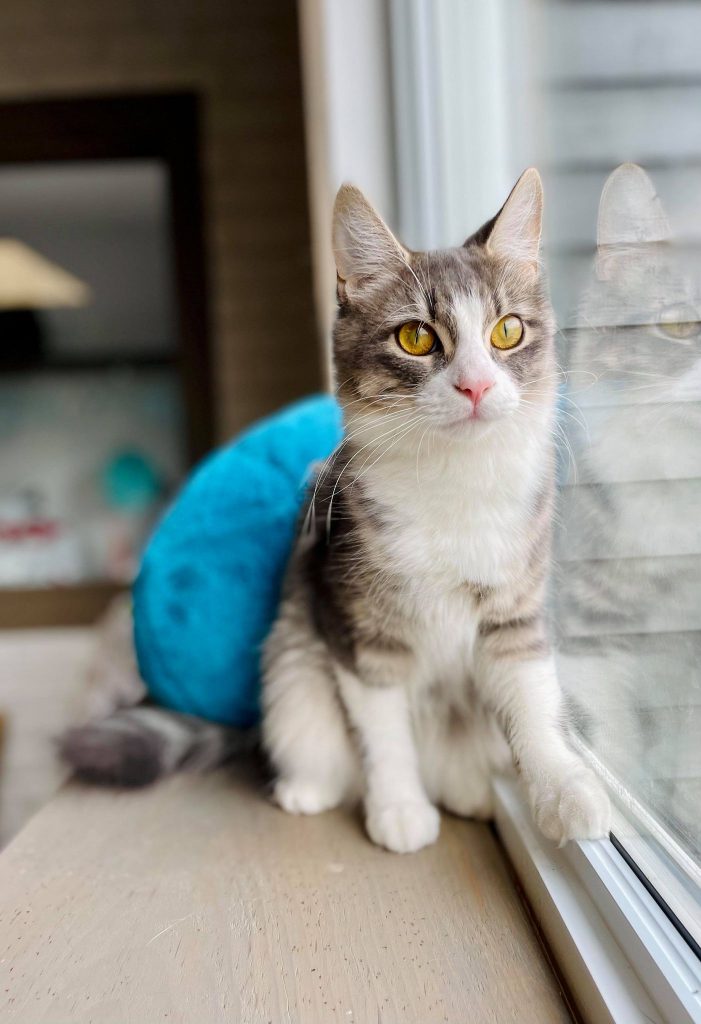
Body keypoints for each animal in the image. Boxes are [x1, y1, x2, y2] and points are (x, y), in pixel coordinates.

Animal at [62, 170, 611, 854]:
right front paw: (399, 808)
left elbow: (534, 705)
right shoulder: (354, 623)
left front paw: (567, 792)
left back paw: (469, 790)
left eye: (507, 331)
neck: (451, 482)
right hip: (293, 676)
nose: (477, 386)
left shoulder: (515, 609)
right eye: (416, 337)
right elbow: (383, 732)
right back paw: (310, 789)